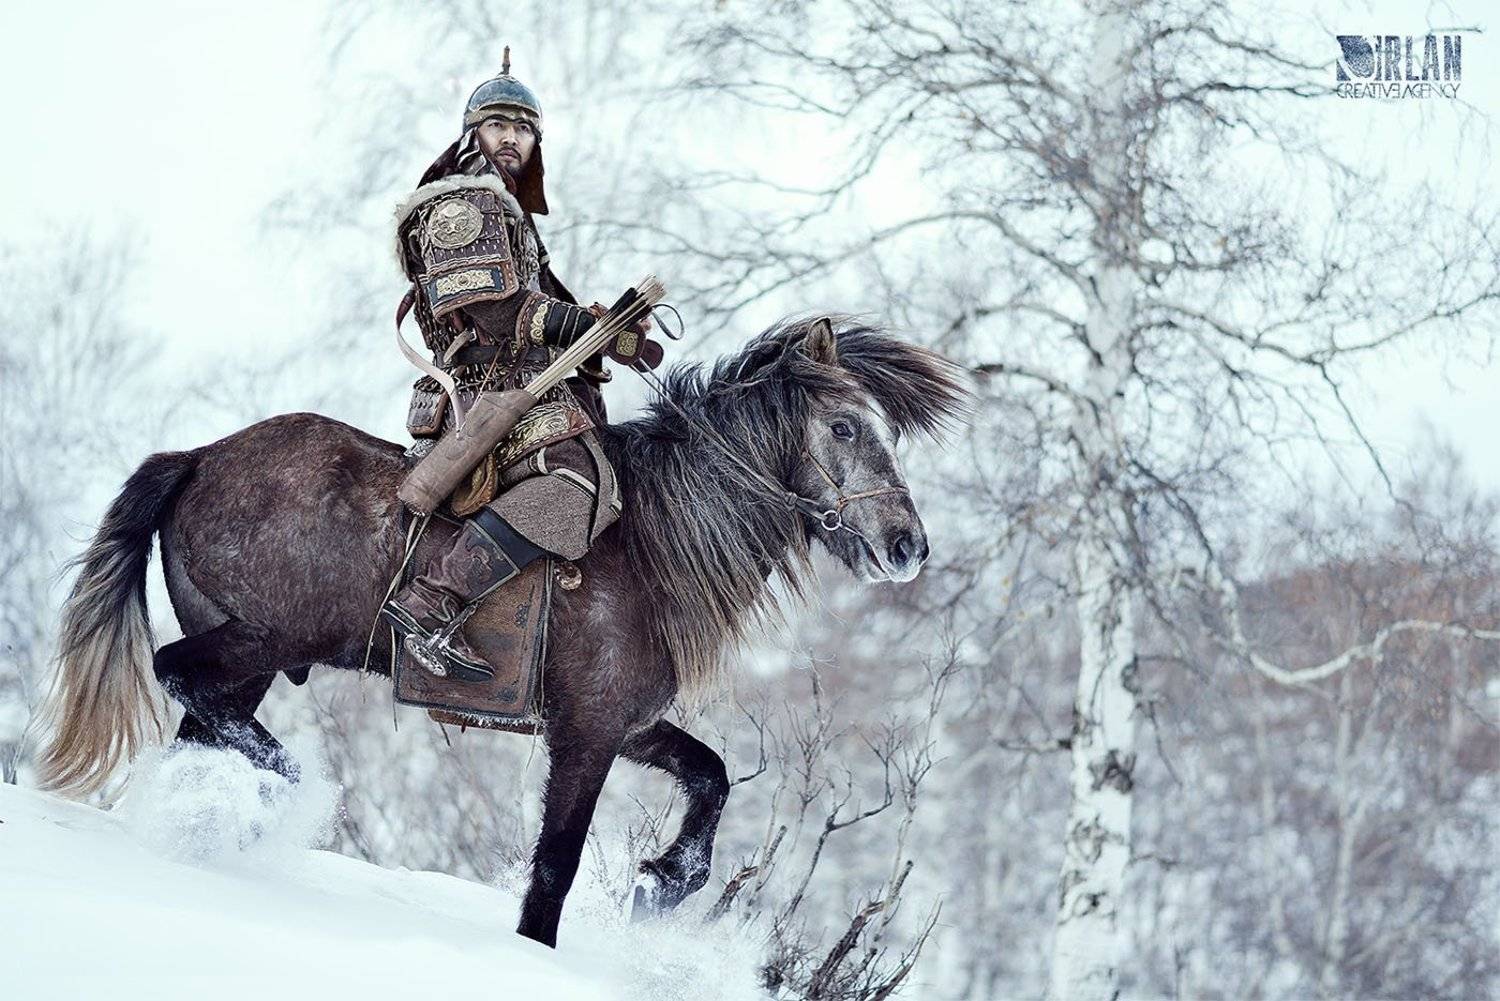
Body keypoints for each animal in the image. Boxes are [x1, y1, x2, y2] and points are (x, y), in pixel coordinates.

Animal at [35, 315, 967, 947]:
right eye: (843, 427)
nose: (906, 546)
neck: (650, 540)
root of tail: (198, 457)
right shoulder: (585, 735)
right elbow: (554, 868)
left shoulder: (621, 723)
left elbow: (711, 776)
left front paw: (662, 883)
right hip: (264, 641)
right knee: (178, 672)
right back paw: (289, 786)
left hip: (254, 661)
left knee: (197, 722)